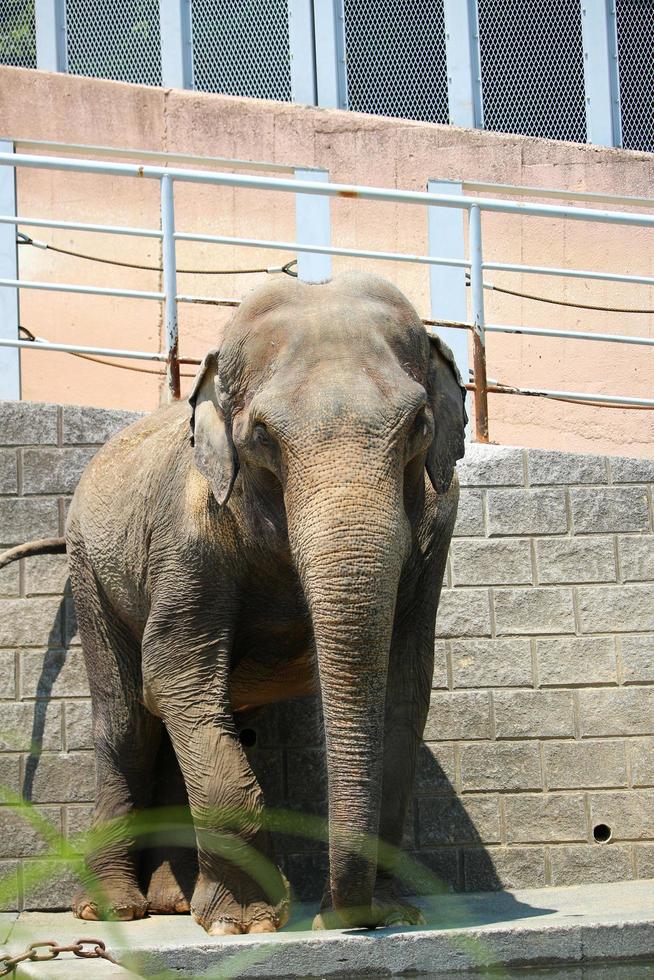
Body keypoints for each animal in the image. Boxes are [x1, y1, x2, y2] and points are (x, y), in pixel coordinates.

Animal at [23, 270, 468, 936]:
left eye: (418, 424)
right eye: (261, 435)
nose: (339, 919)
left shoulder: (438, 527)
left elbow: (404, 683)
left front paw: (393, 914)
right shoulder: (187, 534)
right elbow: (174, 672)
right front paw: (246, 923)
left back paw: (171, 902)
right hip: (89, 574)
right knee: (128, 721)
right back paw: (116, 910)